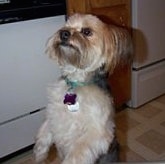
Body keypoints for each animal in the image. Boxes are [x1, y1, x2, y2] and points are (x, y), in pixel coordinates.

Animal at [34, 13, 132, 164]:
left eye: (86, 32)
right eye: (66, 26)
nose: (63, 33)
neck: (76, 83)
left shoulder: (98, 133)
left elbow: (77, 152)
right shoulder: (54, 114)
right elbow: (44, 132)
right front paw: (39, 154)